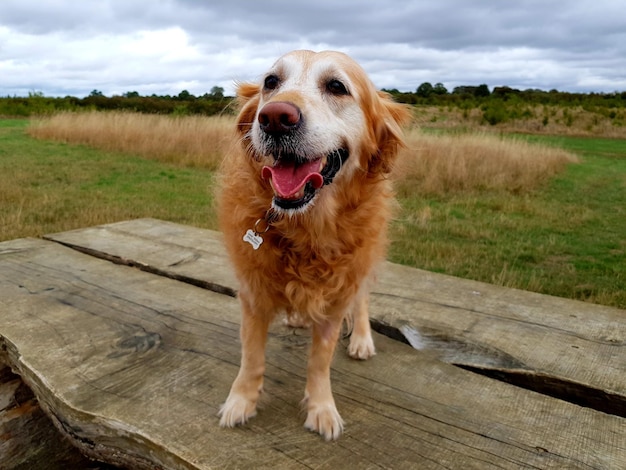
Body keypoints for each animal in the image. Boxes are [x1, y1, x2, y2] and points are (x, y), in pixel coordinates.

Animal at [216, 49, 410, 438]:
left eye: (336, 86)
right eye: (270, 82)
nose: (275, 118)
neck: (305, 227)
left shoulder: (337, 294)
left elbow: (320, 362)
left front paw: (322, 409)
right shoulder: (254, 294)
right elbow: (252, 358)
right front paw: (241, 401)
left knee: (362, 300)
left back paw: (362, 338)